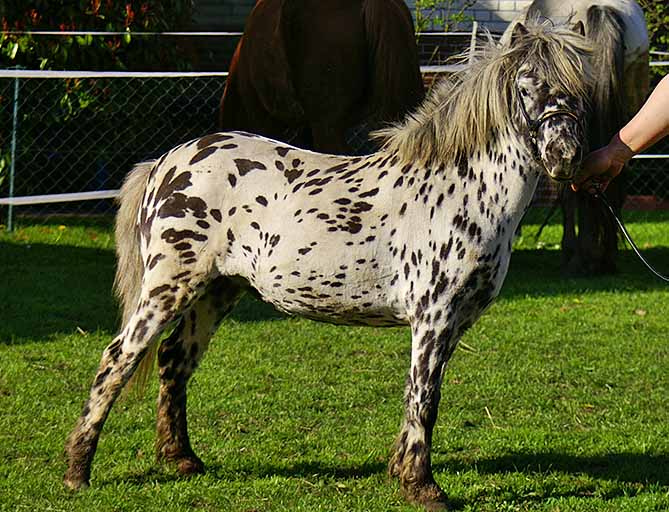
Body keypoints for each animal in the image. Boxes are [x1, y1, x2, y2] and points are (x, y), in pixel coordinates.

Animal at [64, 21, 593, 509]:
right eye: (525, 85)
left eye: (580, 88)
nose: (564, 156)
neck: (461, 190)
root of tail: (166, 163)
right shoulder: (434, 317)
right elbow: (425, 397)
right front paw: (422, 487)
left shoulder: (454, 322)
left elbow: (419, 396)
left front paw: (400, 472)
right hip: (168, 287)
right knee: (118, 359)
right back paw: (77, 471)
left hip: (217, 291)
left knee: (174, 360)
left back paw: (181, 459)